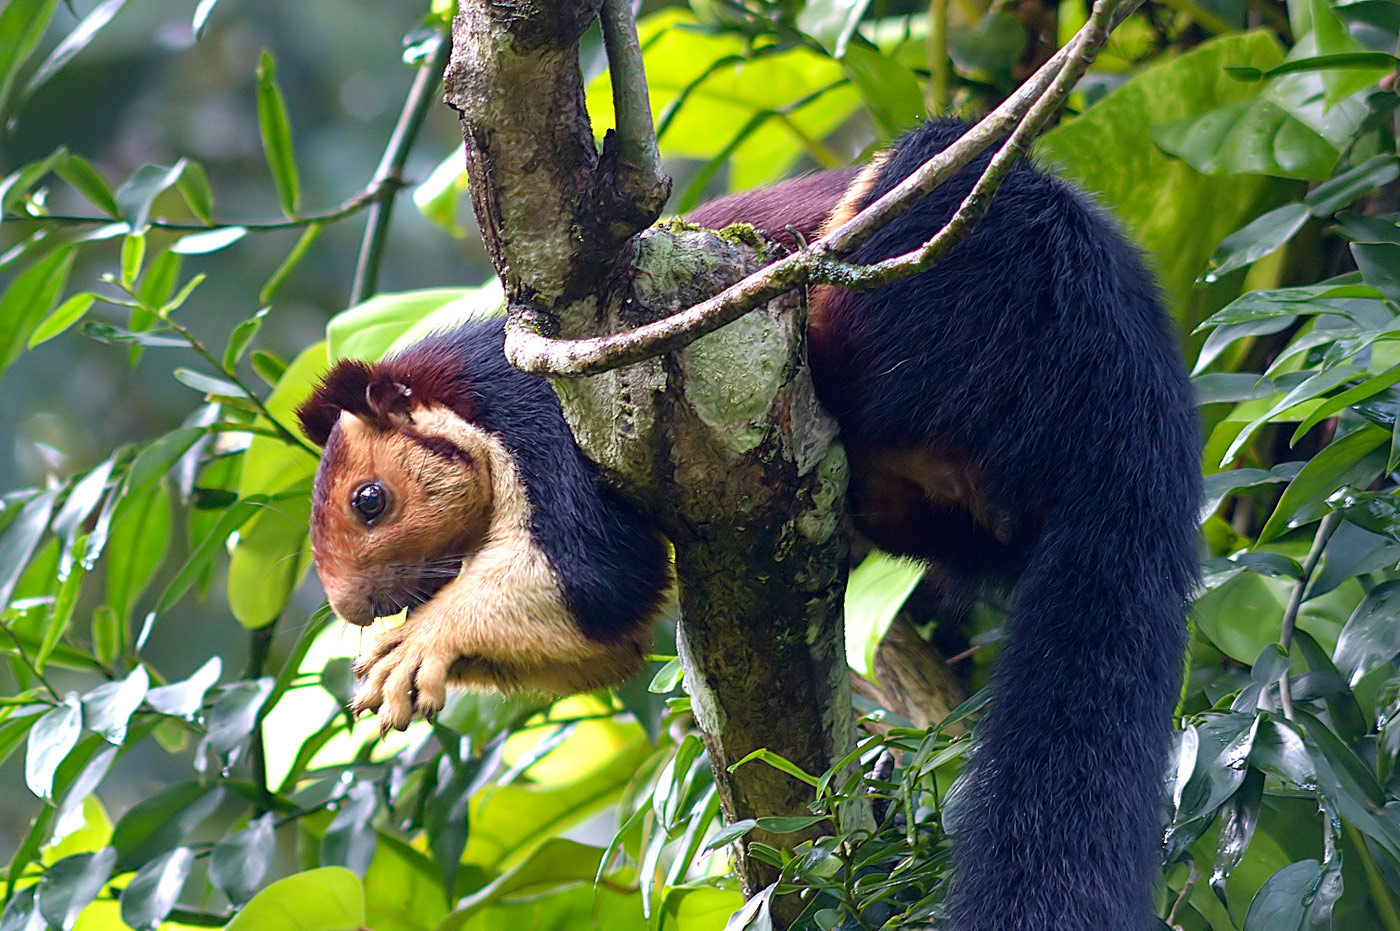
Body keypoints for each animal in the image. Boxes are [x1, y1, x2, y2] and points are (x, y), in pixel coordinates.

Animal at [298, 121, 1204, 929]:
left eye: (369, 500)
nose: (349, 607)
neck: (473, 393)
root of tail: (1139, 405)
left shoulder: (547, 416)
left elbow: (597, 580)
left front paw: (418, 639)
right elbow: (601, 641)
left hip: (956, 280)